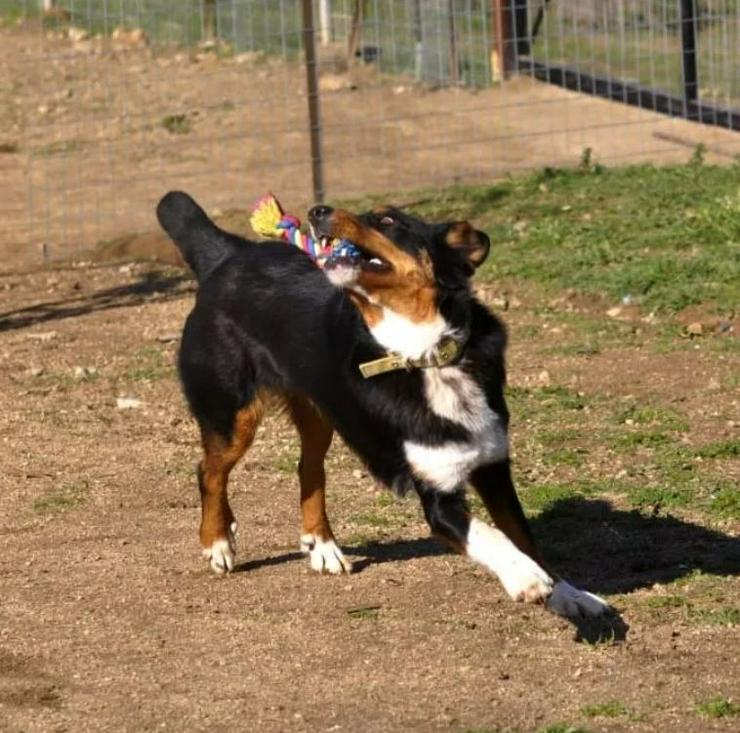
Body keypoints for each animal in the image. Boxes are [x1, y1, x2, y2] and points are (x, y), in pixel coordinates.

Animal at [155, 190, 608, 616]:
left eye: (388, 220)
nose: (318, 211)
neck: (426, 356)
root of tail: (230, 254)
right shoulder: (439, 498)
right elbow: (492, 536)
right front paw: (524, 579)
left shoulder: (493, 466)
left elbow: (524, 537)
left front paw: (571, 595)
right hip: (234, 415)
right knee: (210, 471)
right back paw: (218, 542)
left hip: (320, 410)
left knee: (309, 469)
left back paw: (322, 546)